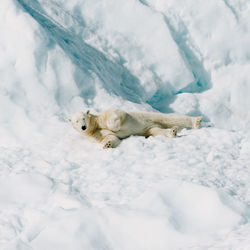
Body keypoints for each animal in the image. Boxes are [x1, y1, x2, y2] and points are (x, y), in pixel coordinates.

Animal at [68, 109, 201, 148]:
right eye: (76, 121)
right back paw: (172, 132)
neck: (94, 126)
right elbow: (110, 137)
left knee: (169, 118)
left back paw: (196, 121)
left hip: (149, 116)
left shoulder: (104, 116)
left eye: (83, 118)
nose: (83, 127)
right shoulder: (95, 134)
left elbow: (115, 114)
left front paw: (115, 127)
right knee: (156, 131)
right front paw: (107, 144)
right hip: (149, 128)